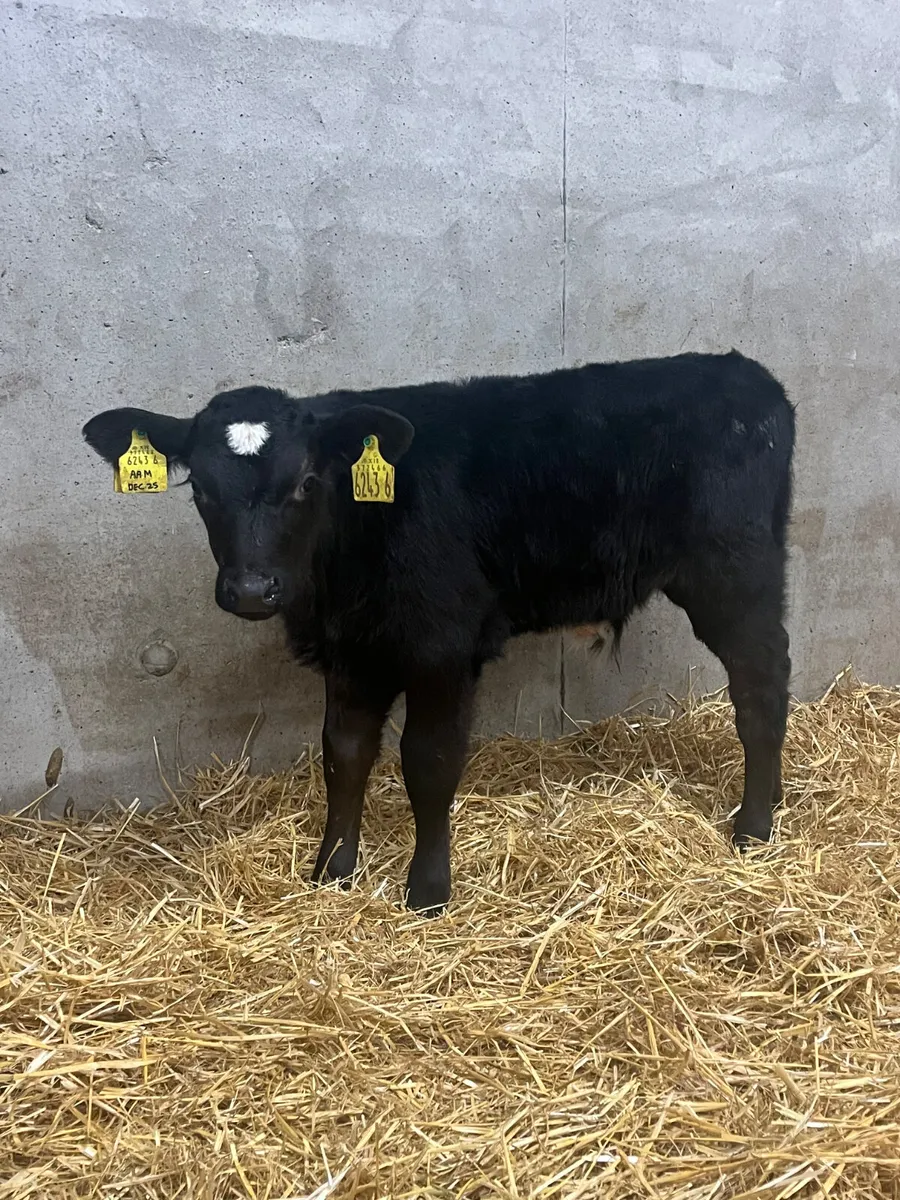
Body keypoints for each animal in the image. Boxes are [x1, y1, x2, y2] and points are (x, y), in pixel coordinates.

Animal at [82, 350, 794, 915]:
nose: (253, 590)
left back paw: (754, 826)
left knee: (762, 683)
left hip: (735, 572)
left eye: (306, 482)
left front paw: (427, 891)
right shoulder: (352, 652)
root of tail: (745, 373)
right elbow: (343, 754)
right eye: (200, 488)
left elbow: (428, 761)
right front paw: (331, 872)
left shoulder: (443, 646)